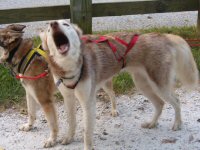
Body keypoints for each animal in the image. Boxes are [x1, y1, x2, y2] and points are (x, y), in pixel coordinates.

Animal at [40, 20, 198, 150]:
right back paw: (152, 124)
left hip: (160, 85)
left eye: (66, 24)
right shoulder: (69, 99)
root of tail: (163, 36)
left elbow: (87, 132)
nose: (53, 24)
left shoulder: (88, 103)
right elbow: (71, 122)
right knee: (159, 103)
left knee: (176, 101)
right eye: (48, 29)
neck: (70, 66)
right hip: (141, 84)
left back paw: (177, 123)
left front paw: (86, 146)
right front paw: (68, 138)